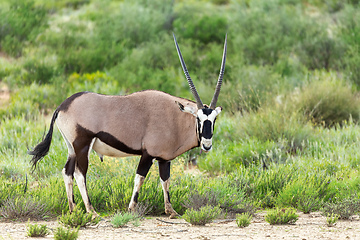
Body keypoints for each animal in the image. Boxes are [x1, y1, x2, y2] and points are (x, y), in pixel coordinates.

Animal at [28, 32, 226, 218]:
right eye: (198, 119)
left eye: (214, 119)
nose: (207, 145)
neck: (175, 117)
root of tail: (63, 105)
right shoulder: (147, 154)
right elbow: (139, 178)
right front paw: (131, 209)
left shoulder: (164, 159)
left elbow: (165, 181)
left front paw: (171, 211)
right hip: (82, 146)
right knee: (79, 173)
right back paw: (91, 211)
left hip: (71, 148)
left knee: (67, 172)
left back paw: (73, 209)